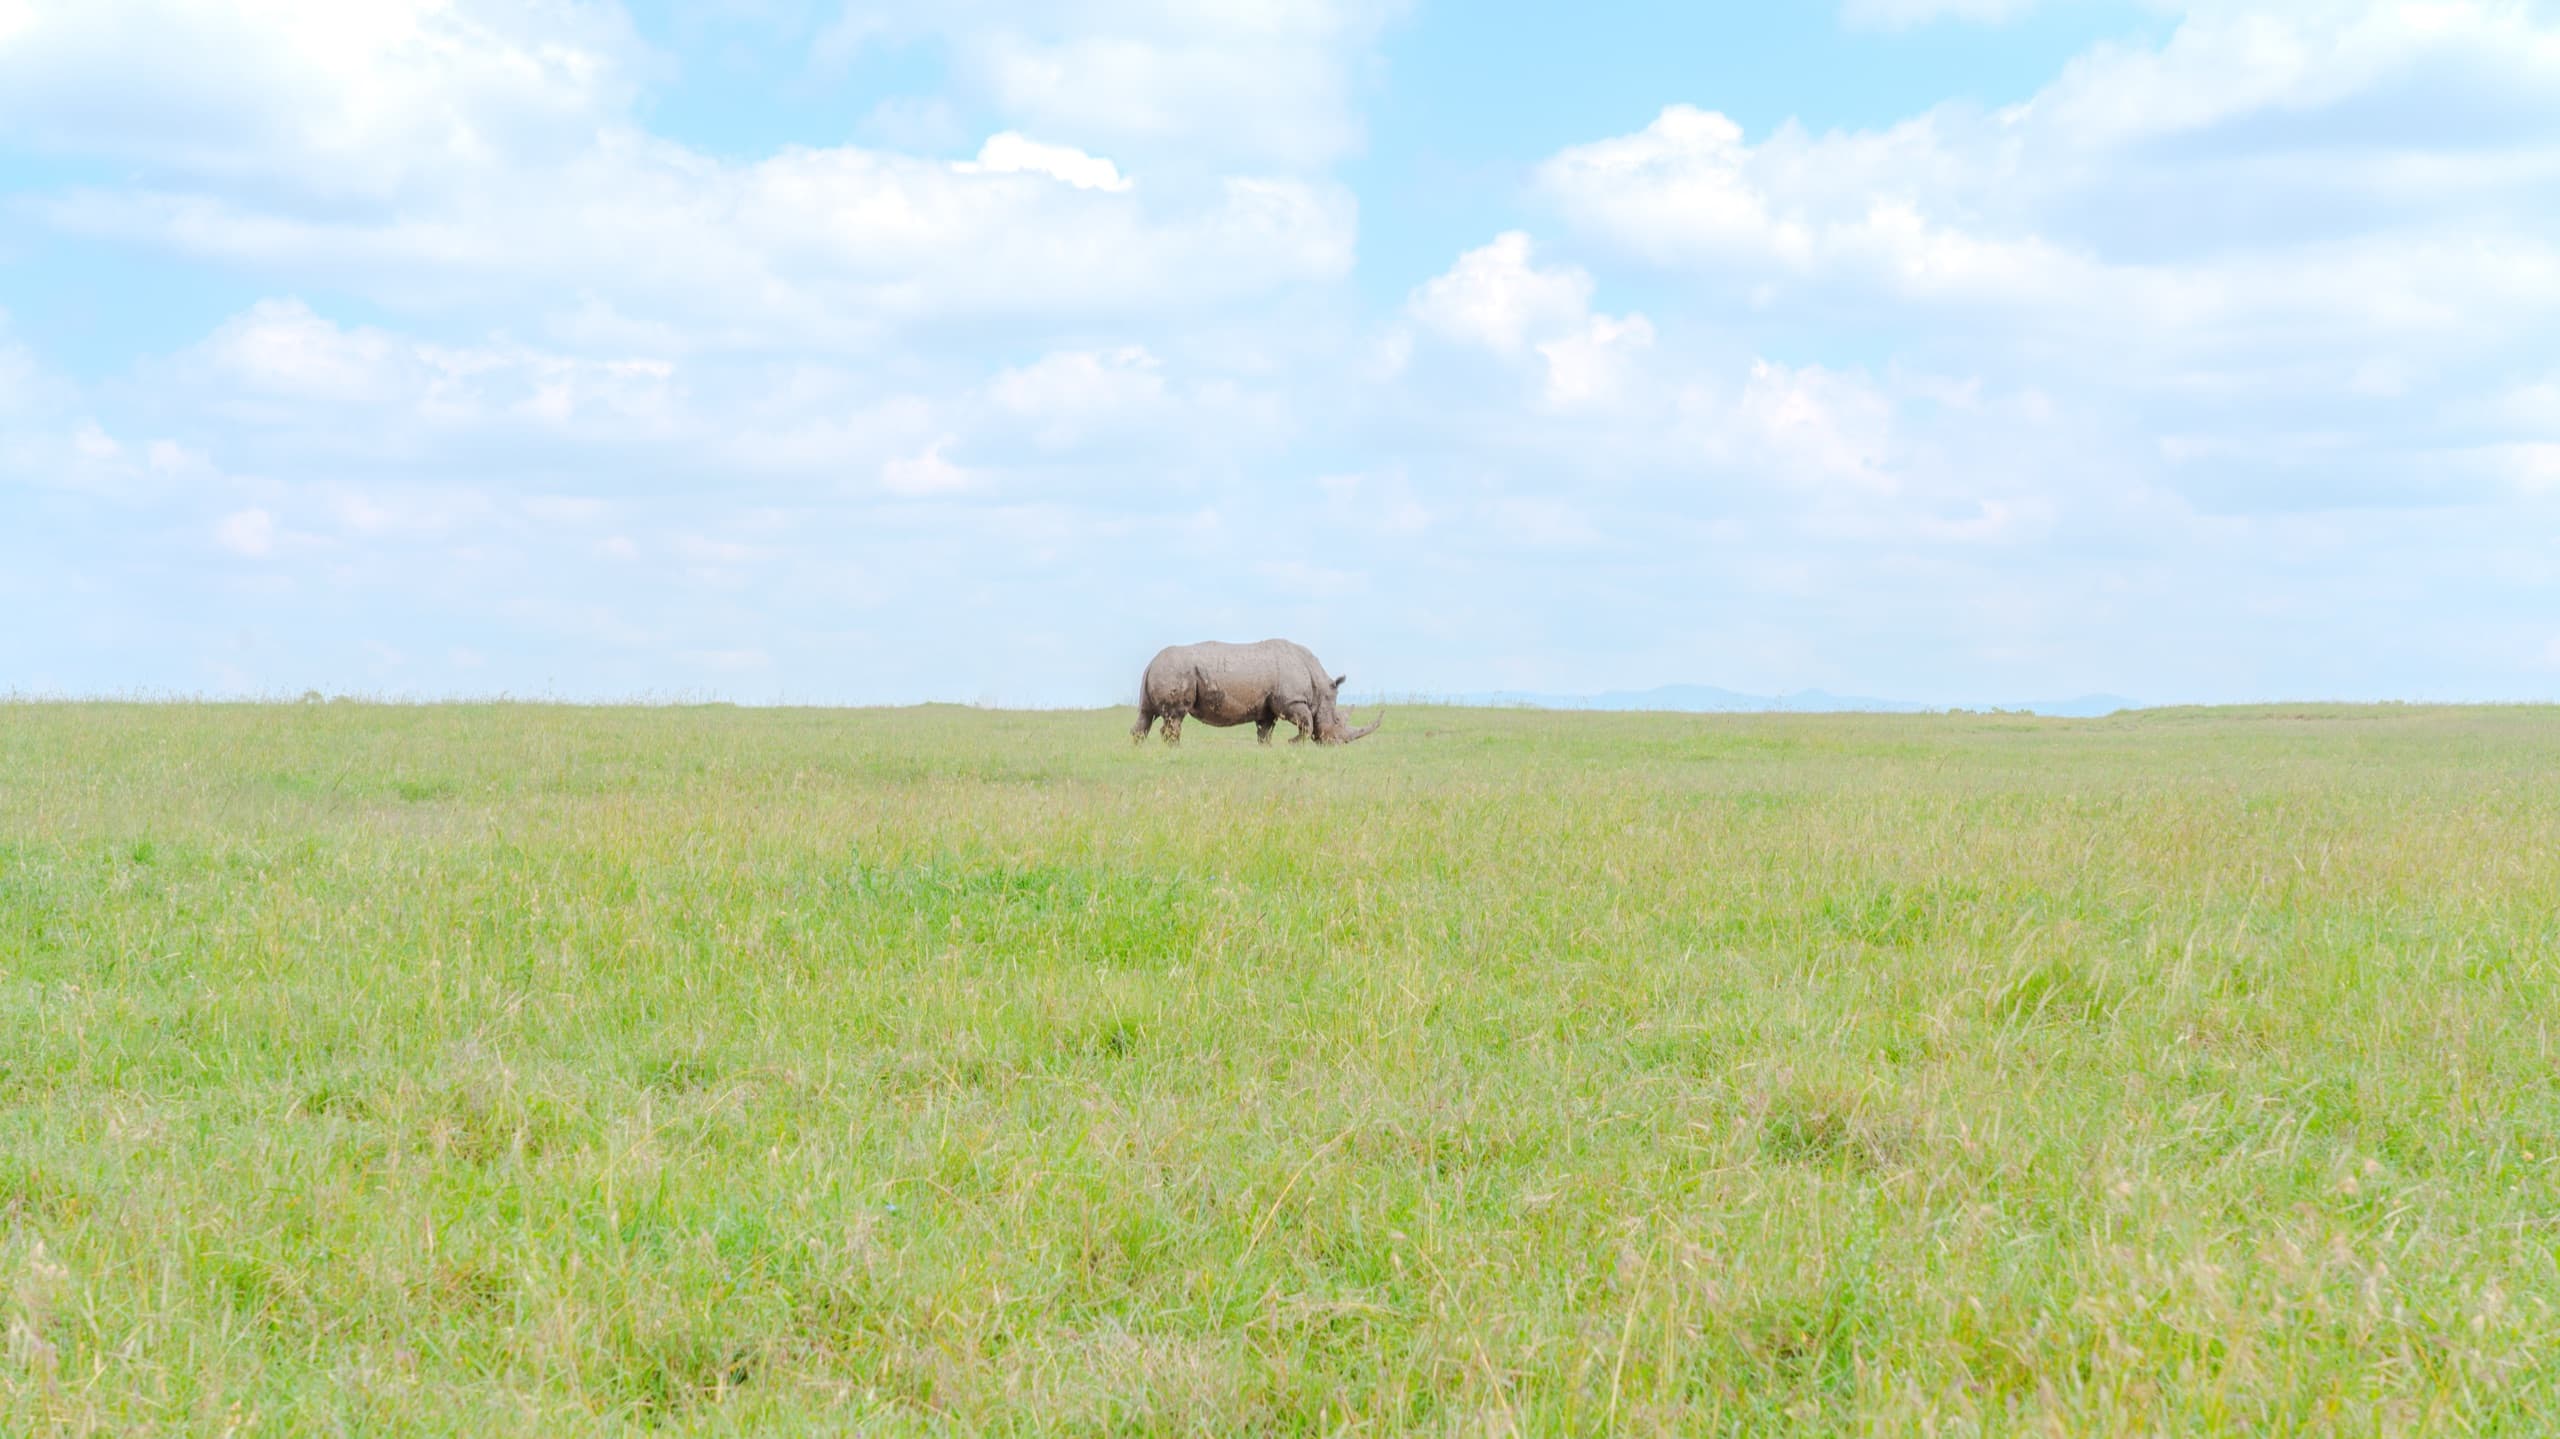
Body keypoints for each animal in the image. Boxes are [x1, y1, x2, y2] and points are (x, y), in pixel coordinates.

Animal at [1133, 639, 1383, 746]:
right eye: (1337, 720)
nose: (1335, 744)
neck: (1320, 687)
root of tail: (1151, 663)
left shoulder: (1268, 708)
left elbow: (1265, 731)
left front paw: (1266, 748)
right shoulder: (1291, 702)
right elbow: (1308, 723)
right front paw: (1293, 743)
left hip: (1160, 672)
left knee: (1146, 715)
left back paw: (1139, 749)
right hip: (1175, 671)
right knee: (1175, 716)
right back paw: (1175, 748)